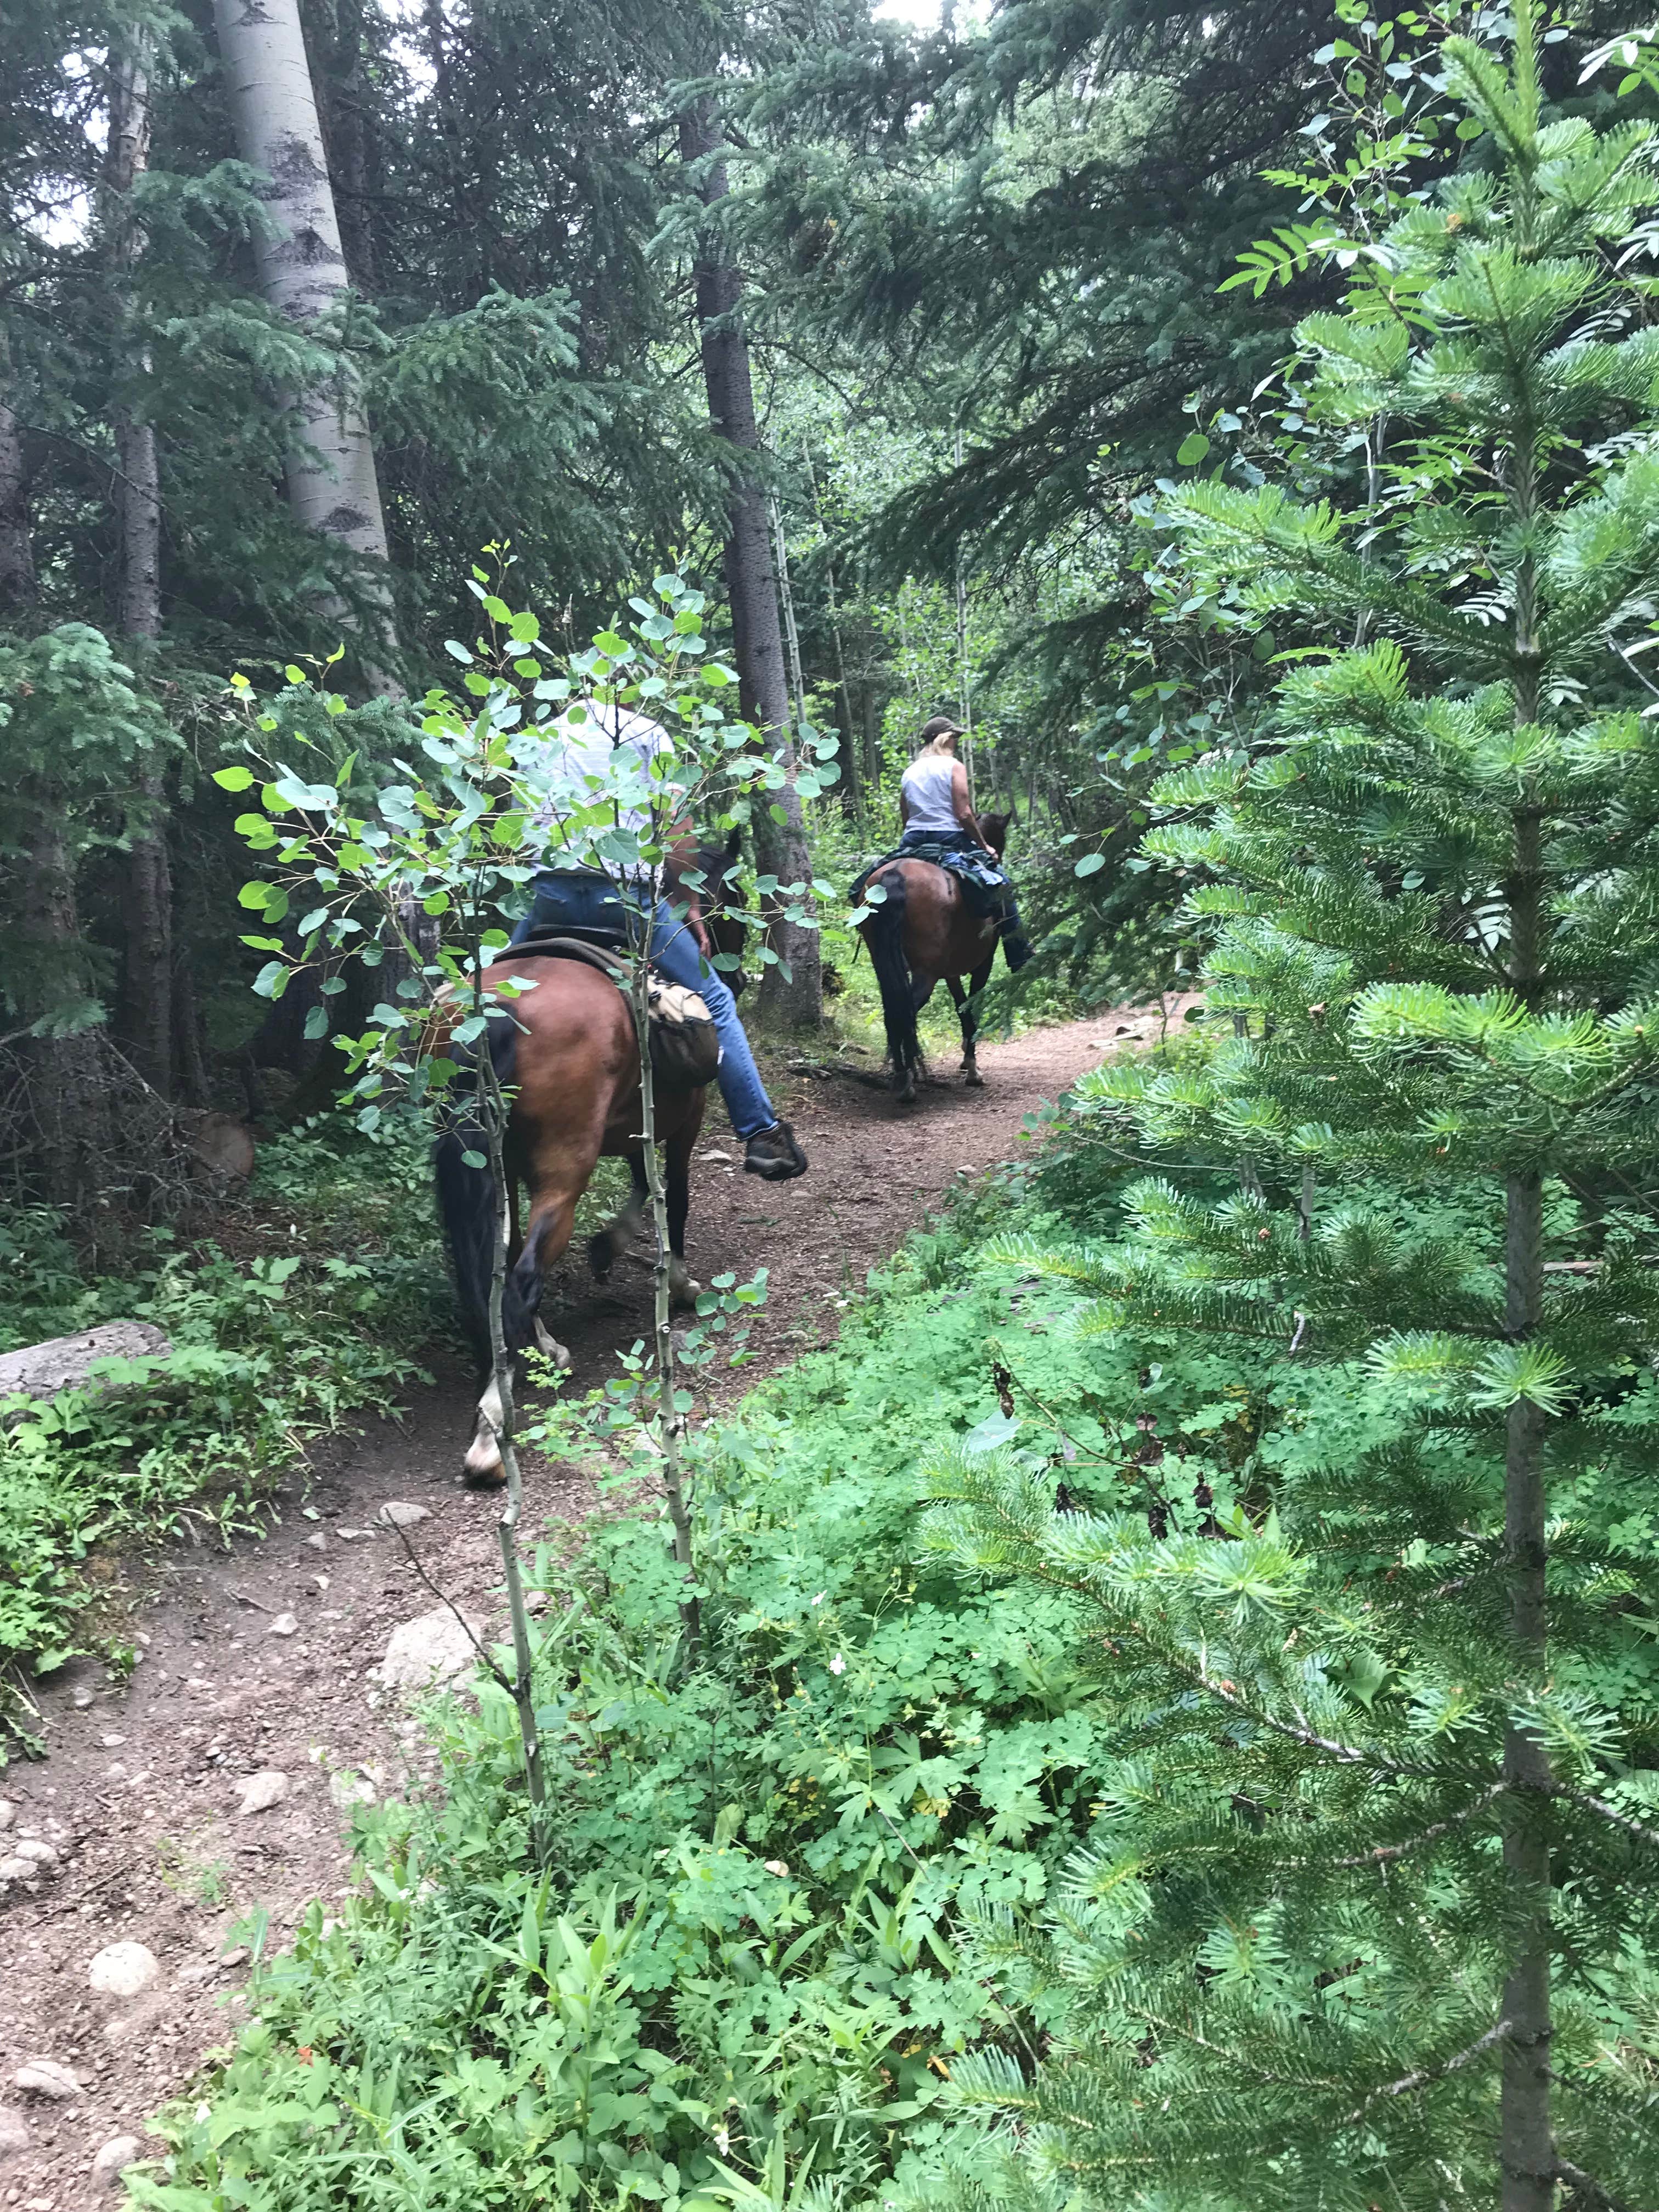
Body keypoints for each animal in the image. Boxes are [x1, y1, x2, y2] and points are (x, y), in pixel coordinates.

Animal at [857, 811, 1015, 1105]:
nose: (997, 856)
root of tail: (895, 875)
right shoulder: (983, 964)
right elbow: (971, 1005)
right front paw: (972, 1068)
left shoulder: (949, 972)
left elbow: (961, 1006)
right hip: (925, 972)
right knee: (905, 1011)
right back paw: (908, 1083)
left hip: (883, 963)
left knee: (892, 1011)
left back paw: (901, 1075)